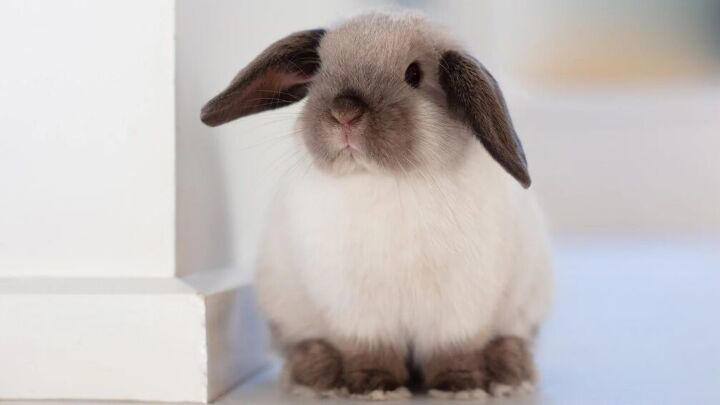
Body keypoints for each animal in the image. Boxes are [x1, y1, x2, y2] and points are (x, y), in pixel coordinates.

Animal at [201, 11, 552, 400]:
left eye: (414, 74)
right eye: (320, 69)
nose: (344, 112)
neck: (386, 179)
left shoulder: (459, 306)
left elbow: (453, 348)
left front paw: (460, 385)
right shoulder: (358, 310)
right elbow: (371, 349)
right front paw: (374, 385)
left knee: (510, 340)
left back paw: (511, 371)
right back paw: (314, 374)